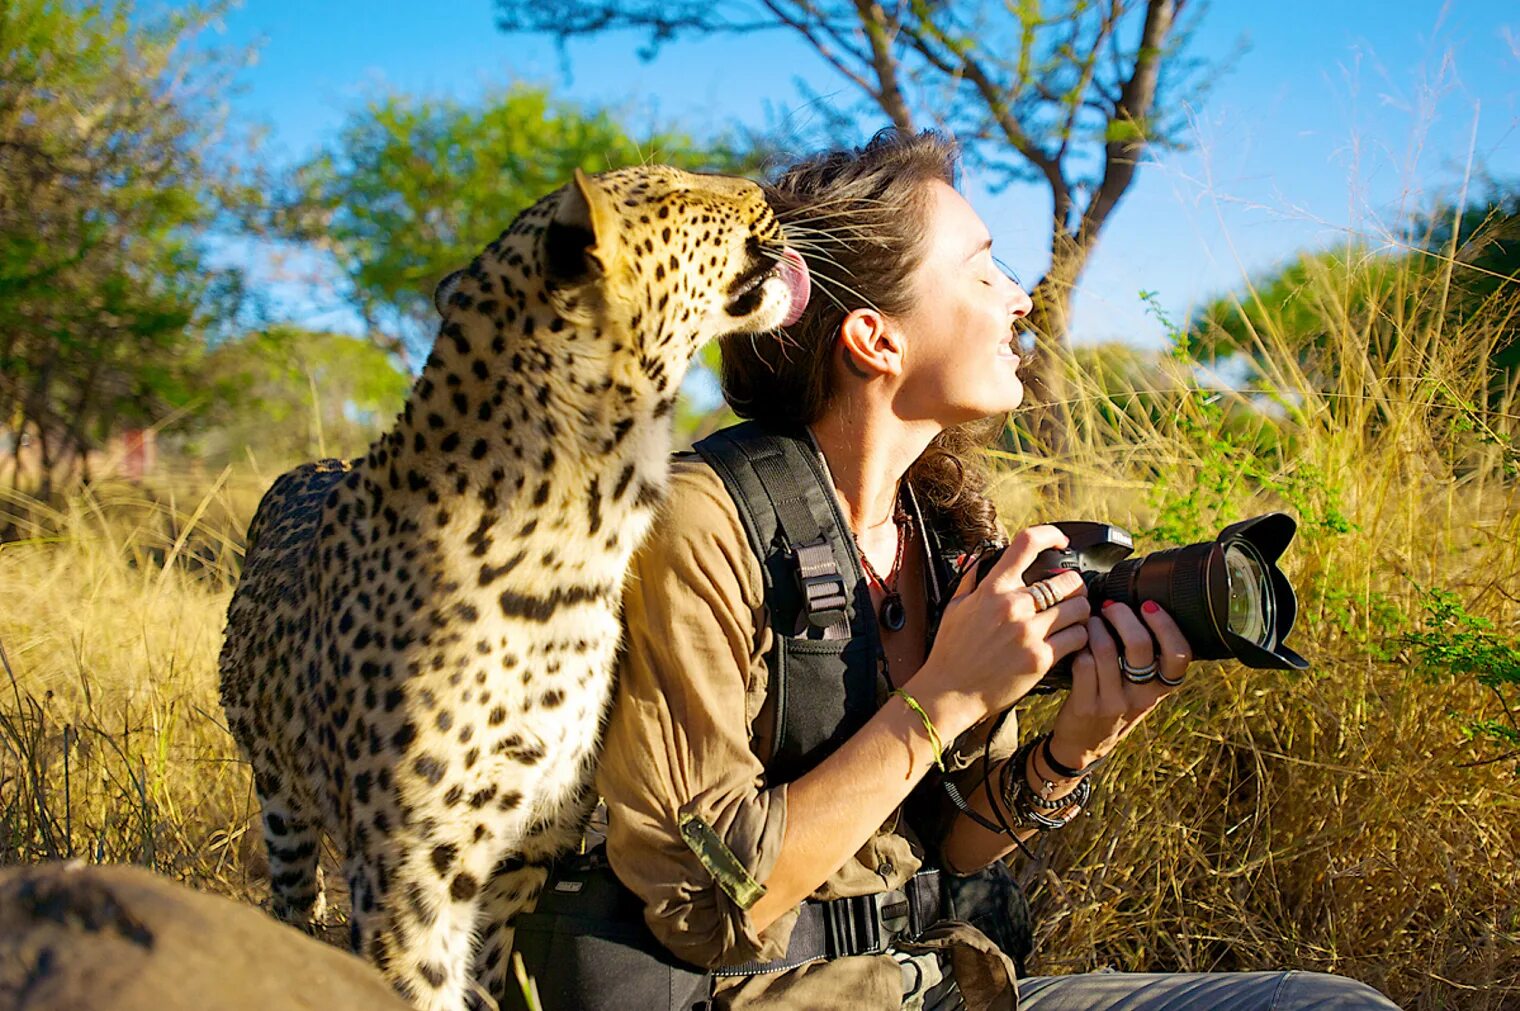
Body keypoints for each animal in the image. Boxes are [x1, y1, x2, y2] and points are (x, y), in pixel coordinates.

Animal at [217, 167, 808, 1009]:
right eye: (677, 186)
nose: (763, 187)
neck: (591, 522)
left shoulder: (526, 851)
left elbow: (485, 984)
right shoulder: (409, 878)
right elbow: (422, 985)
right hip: (279, 796)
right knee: (291, 896)